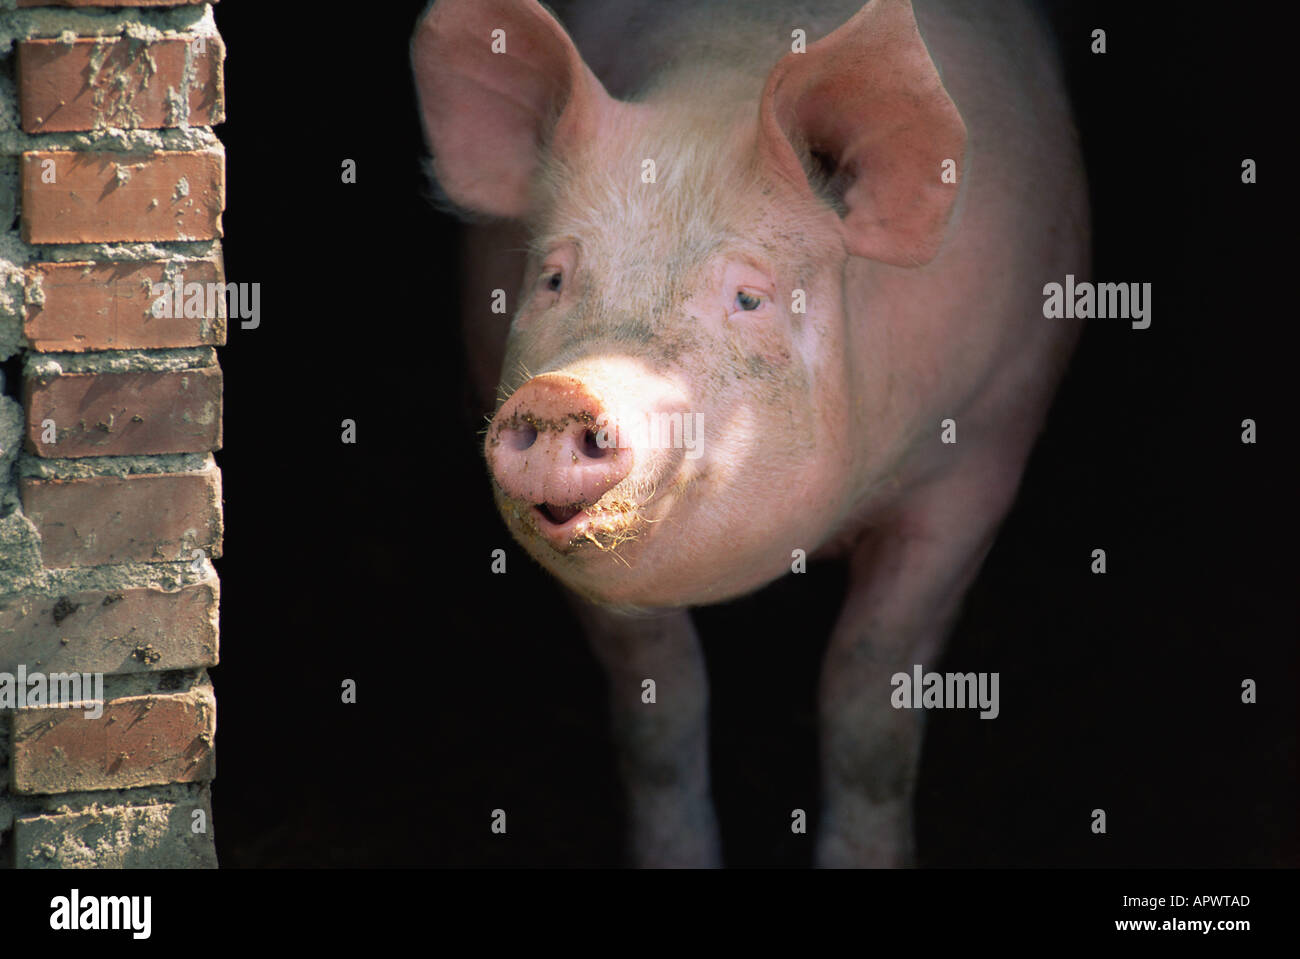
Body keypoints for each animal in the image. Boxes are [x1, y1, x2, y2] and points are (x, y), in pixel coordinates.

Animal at [412, 0, 1088, 866]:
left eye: (747, 297)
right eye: (556, 277)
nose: (564, 391)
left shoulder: (984, 450)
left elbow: (866, 695)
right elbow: (660, 706)